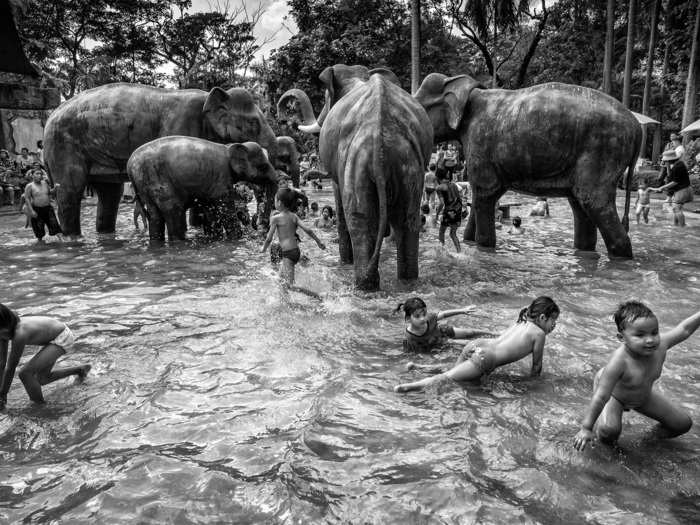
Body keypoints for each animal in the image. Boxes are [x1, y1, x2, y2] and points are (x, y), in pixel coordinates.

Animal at [126, 135, 276, 242]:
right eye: (263, 166)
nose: (259, 221)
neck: (228, 147)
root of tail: (129, 164)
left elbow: (211, 211)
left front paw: (214, 238)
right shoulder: (222, 178)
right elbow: (225, 210)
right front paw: (237, 238)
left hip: (145, 187)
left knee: (155, 216)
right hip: (160, 185)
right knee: (174, 212)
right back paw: (179, 242)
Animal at [278, 64, 432, 290]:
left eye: (326, 97)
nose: (286, 119)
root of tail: (379, 131)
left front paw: (344, 262)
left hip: (357, 161)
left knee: (359, 218)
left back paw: (363, 284)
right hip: (408, 164)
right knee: (408, 217)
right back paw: (407, 281)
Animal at [412, 73, 644, 258]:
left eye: (422, 107)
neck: (470, 90)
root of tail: (637, 127)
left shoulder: (479, 142)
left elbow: (485, 194)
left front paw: (483, 249)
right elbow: (481, 198)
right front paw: (469, 241)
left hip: (603, 151)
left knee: (594, 203)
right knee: (581, 207)